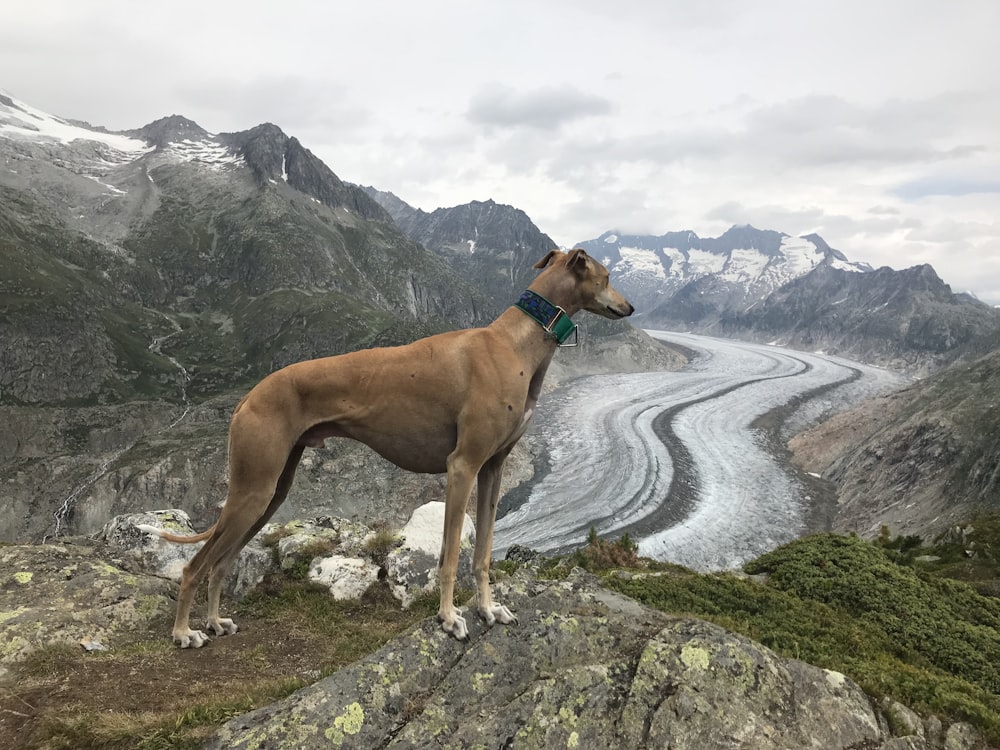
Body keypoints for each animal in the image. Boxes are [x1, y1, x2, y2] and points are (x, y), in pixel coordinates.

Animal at [141, 251, 632, 648]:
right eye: (607, 276)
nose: (630, 307)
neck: (515, 343)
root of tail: (249, 396)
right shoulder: (462, 467)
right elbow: (451, 556)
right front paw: (450, 618)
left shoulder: (492, 469)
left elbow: (483, 554)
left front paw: (489, 609)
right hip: (252, 490)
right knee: (195, 566)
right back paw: (184, 632)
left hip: (271, 493)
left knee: (221, 564)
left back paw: (215, 622)